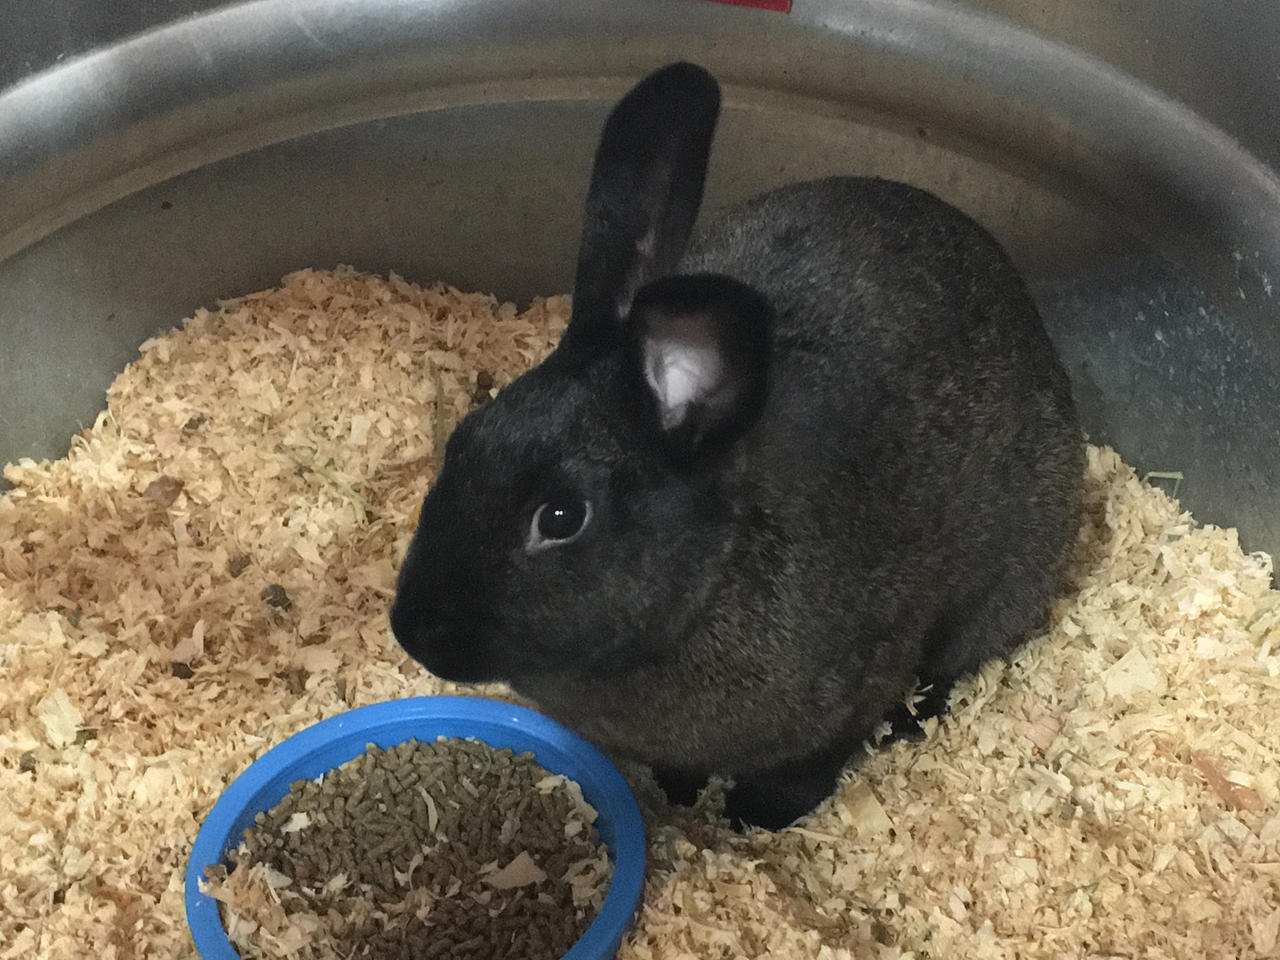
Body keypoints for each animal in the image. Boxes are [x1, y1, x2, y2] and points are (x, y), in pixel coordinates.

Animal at [389, 62, 1083, 830]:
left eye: (562, 517)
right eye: (461, 442)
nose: (413, 630)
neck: (714, 579)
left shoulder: (861, 682)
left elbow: (807, 768)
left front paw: (755, 818)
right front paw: (682, 794)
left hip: (1010, 571)